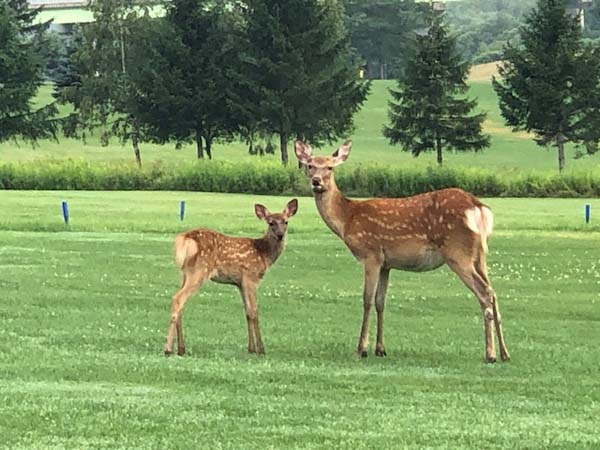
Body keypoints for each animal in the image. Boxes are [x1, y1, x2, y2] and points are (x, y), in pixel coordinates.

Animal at [164, 199, 298, 356]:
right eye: (271, 223)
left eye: (286, 221)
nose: (280, 235)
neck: (263, 254)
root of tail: (185, 239)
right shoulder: (251, 277)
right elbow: (255, 312)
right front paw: (261, 349)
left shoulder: (240, 283)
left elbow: (247, 313)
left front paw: (250, 348)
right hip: (200, 270)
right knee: (178, 298)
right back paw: (168, 349)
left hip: (186, 272)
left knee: (181, 303)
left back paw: (181, 349)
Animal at [292, 141, 508, 362]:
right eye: (310, 165)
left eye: (330, 167)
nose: (316, 182)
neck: (347, 219)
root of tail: (478, 207)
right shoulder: (386, 264)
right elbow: (380, 301)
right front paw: (380, 349)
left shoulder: (371, 254)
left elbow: (367, 300)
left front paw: (362, 349)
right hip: (480, 255)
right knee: (494, 292)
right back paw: (504, 353)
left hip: (457, 251)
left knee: (485, 292)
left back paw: (490, 354)